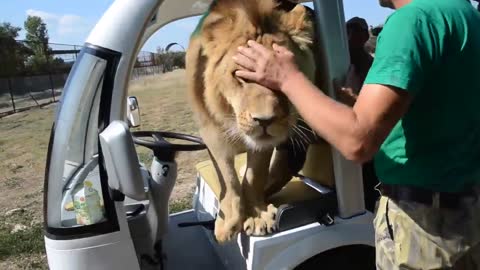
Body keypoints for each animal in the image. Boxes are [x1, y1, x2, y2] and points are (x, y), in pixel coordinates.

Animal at [186, 0, 316, 243]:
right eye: (240, 76)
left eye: (284, 75)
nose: (265, 121)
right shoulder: (210, 131)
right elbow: (227, 177)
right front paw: (228, 221)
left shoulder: (264, 144)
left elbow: (254, 175)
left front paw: (257, 216)